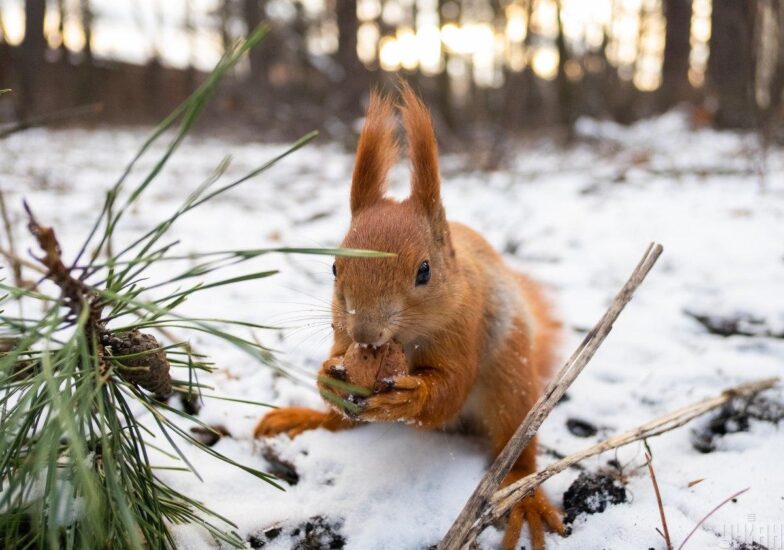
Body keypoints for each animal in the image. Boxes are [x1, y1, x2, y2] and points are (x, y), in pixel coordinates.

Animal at [254, 84, 568, 548]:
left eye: (424, 271)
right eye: (334, 267)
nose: (366, 331)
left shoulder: (464, 325)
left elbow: (451, 386)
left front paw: (410, 397)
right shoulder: (341, 330)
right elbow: (336, 357)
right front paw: (327, 377)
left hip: (510, 378)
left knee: (517, 445)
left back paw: (524, 496)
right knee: (340, 423)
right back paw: (306, 417)